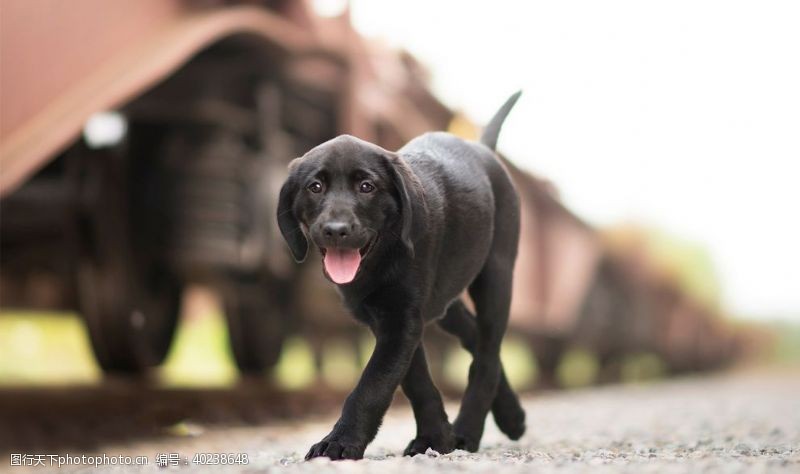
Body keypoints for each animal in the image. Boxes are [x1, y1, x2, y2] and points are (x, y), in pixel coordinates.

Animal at [278, 91, 528, 460]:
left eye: (367, 186)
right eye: (315, 186)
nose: (336, 230)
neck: (381, 259)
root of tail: (481, 148)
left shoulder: (402, 320)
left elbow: (372, 385)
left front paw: (339, 442)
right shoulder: (387, 319)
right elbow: (415, 380)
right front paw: (435, 437)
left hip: (496, 276)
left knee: (486, 356)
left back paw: (469, 431)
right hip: (445, 299)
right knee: (476, 336)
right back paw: (511, 415)